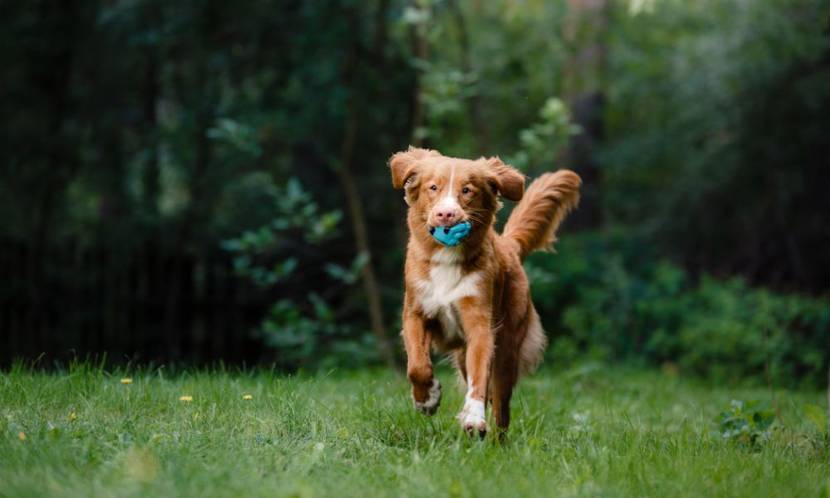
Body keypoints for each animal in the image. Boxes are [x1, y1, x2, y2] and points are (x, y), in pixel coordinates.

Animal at [388, 147, 580, 436]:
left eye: (467, 190)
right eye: (433, 187)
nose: (446, 215)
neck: (447, 259)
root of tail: (509, 245)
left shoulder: (480, 324)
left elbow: (479, 376)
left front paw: (473, 417)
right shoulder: (415, 313)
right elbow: (417, 366)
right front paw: (427, 398)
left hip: (508, 348)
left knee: (501, 406)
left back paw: (496, 439)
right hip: (462, 352)